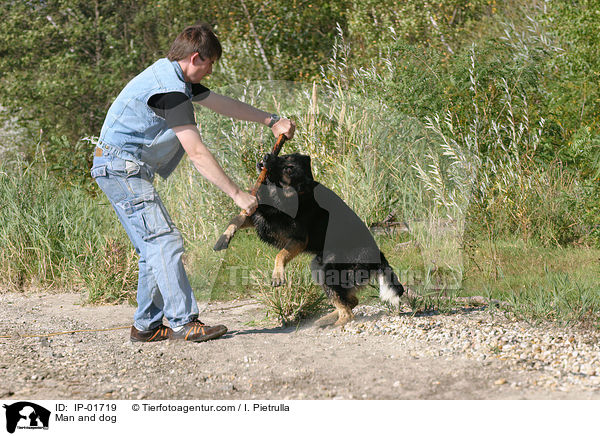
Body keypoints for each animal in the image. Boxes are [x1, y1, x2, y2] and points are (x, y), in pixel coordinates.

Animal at [230, 153, 404, 328]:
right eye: (284, 156)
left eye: (288, 169)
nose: (266, 156)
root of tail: (379, 257)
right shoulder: (261, 216)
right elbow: (241, 218)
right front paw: (228, 234)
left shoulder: (298, 239)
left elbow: (280, 254)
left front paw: (278, 275)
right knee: (351, 301)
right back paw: (326, 319)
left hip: (326, 270)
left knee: (348, 312)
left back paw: (335, 323)